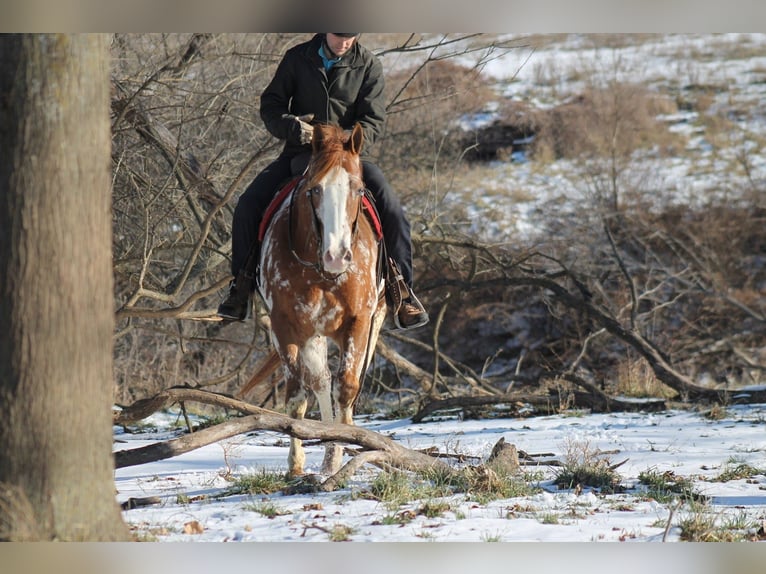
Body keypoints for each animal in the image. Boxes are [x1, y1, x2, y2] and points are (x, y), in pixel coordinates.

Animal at [240, 123, 387, 477]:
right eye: (314, 189)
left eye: (358, 189)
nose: (336, 256)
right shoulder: (286, 326)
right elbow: (296, 397)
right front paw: (299, 463)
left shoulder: (359, 321)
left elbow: (346, 386)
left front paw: (340, 453)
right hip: (312, 335)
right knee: (318, 382)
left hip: (370, 322)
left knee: (342, 383)